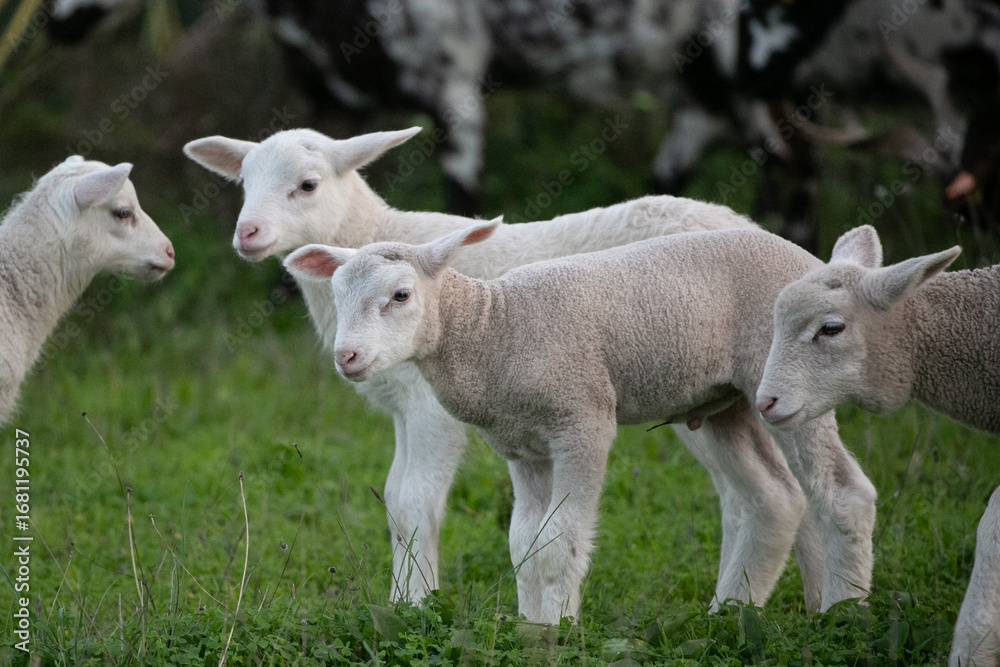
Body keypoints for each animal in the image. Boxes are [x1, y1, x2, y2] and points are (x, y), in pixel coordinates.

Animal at [183, 126, 830, 610]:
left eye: (308, 184)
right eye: (243, 184)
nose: (247, 234)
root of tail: (754, 228)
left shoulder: (431, 409)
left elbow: (413, 500)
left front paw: (415, 607)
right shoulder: (402, 406)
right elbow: (393, 496)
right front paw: (402, 600)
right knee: (761, 495)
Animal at [282, 221, 878, 624]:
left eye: (401, 295)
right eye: (337, 294)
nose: (346, 358)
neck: (491, 329)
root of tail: (818, 263)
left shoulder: (582, 422)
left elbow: (558, 540)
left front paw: (560, 630)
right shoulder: (521, 446)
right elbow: (524, 543)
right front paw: (532, 625)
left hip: (794, 387)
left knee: (843, 493)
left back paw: (841, 616)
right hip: (724, 404)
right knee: (774, 498)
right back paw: (730, 615)